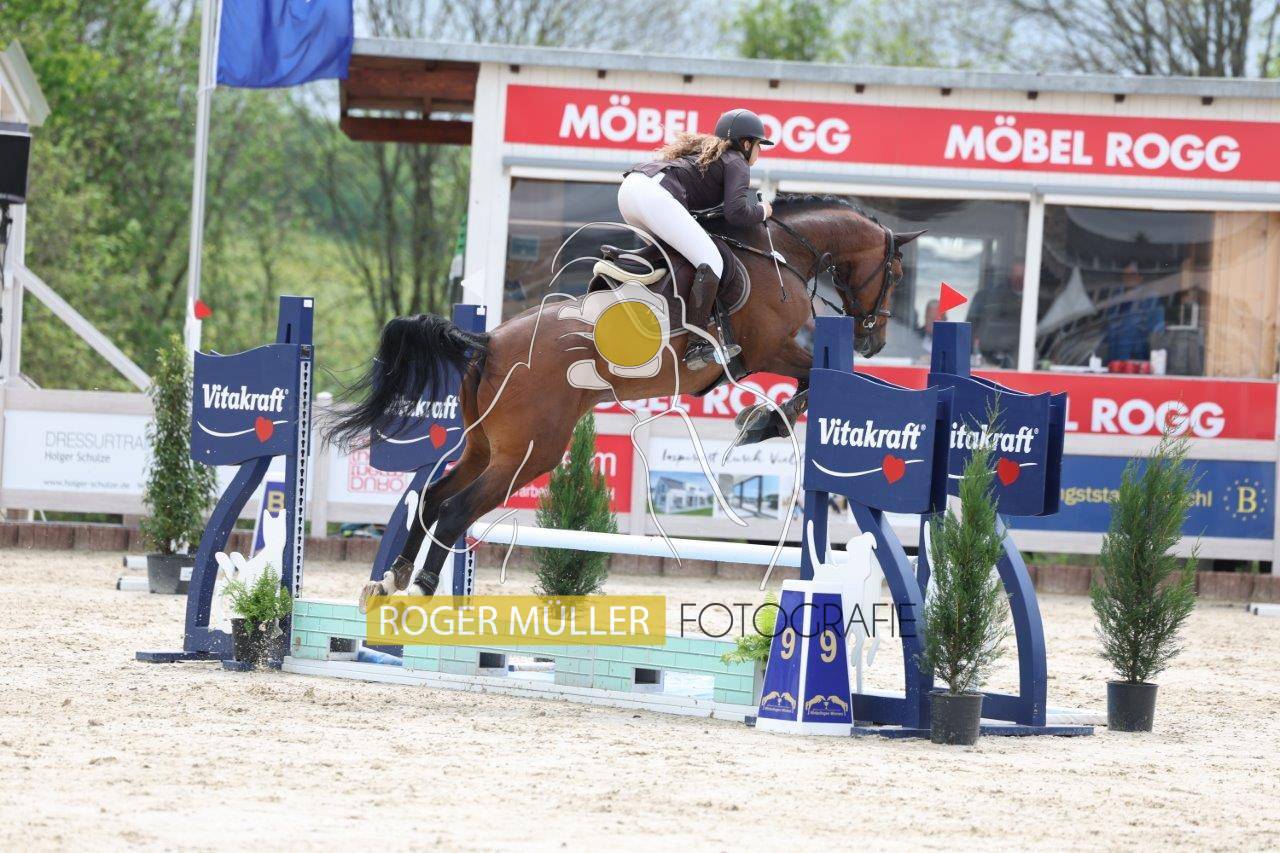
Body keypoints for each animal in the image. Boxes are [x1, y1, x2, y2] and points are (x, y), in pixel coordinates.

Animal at [327, 194, 921, 608]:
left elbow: (810, 385)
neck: (782, 253)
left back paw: (389, 581)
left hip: (485, 446)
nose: (874, 341)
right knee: (453, 510)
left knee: (431, 499)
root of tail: (489, 342)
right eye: (894, 274)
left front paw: (760, 421)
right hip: (530, 453)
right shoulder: (768, 348)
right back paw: (421, 587)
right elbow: (812, 383)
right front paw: (760, 423)